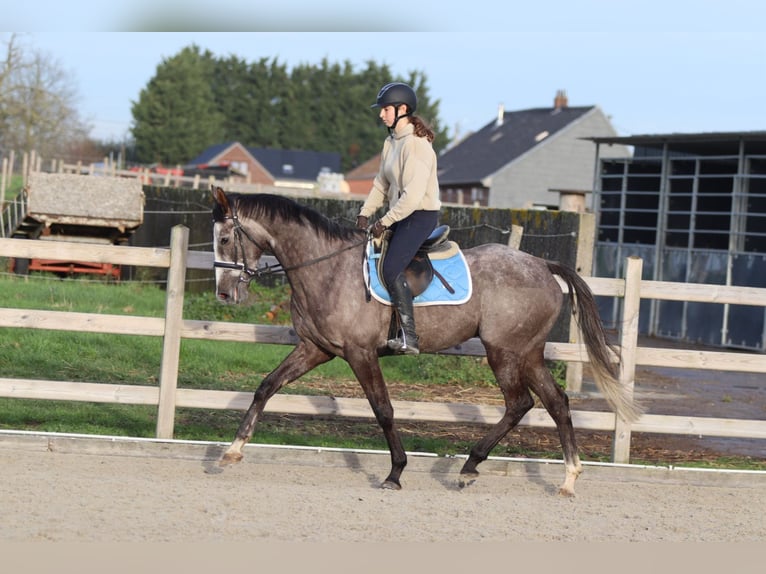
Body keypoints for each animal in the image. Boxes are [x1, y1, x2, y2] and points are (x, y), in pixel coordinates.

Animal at [210, 186, 640, 496]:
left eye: (227, 238)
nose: (225, 294)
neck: (326, 269)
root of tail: (542, 265)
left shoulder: (360, 354)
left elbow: (383, 410)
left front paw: (395, 473)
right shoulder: (315, 349)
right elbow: (266, 386)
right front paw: (232, 451)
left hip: (505, 352)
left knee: (520, 403)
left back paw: (471, 466)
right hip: (528, 353)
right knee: (556, 403)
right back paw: (567, 479)